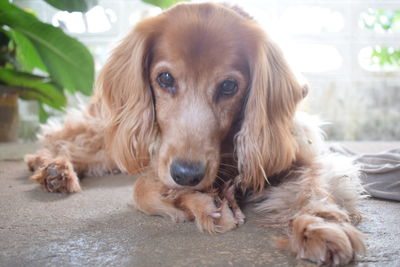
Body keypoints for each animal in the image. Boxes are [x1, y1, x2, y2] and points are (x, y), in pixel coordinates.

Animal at [25, 3, 366, 266]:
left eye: (228, 86)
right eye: (165, 78)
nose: (186, 176)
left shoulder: (298, 151)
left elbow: (314, 188)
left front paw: (320, 228)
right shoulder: (159, 160)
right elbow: (142, 189)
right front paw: (199, 204)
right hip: (115, 132)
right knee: (67, 141)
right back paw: (51, 167)